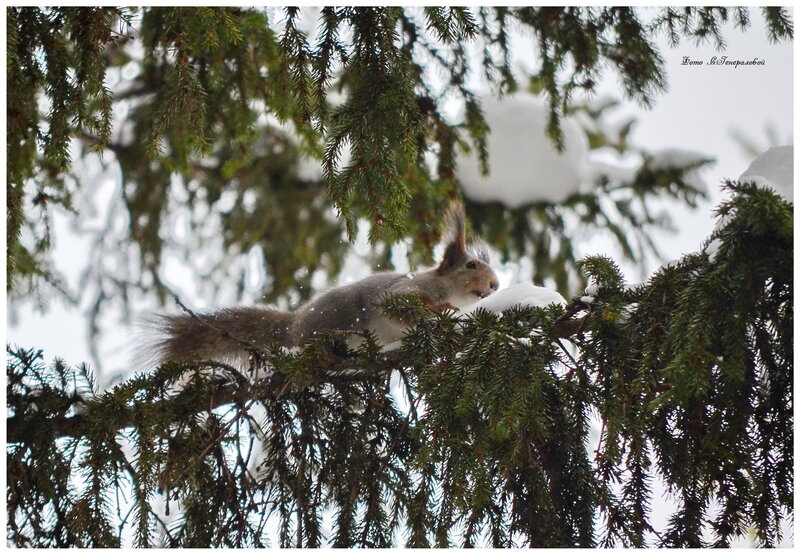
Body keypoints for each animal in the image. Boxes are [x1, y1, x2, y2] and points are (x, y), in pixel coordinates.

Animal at [150, 202, 496, 368]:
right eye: (471, 265)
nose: (495, 285)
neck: (442, 285)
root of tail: (294, 325)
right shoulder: (402, 292)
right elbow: (403, 307)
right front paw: (442, 309)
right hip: (336, 318)